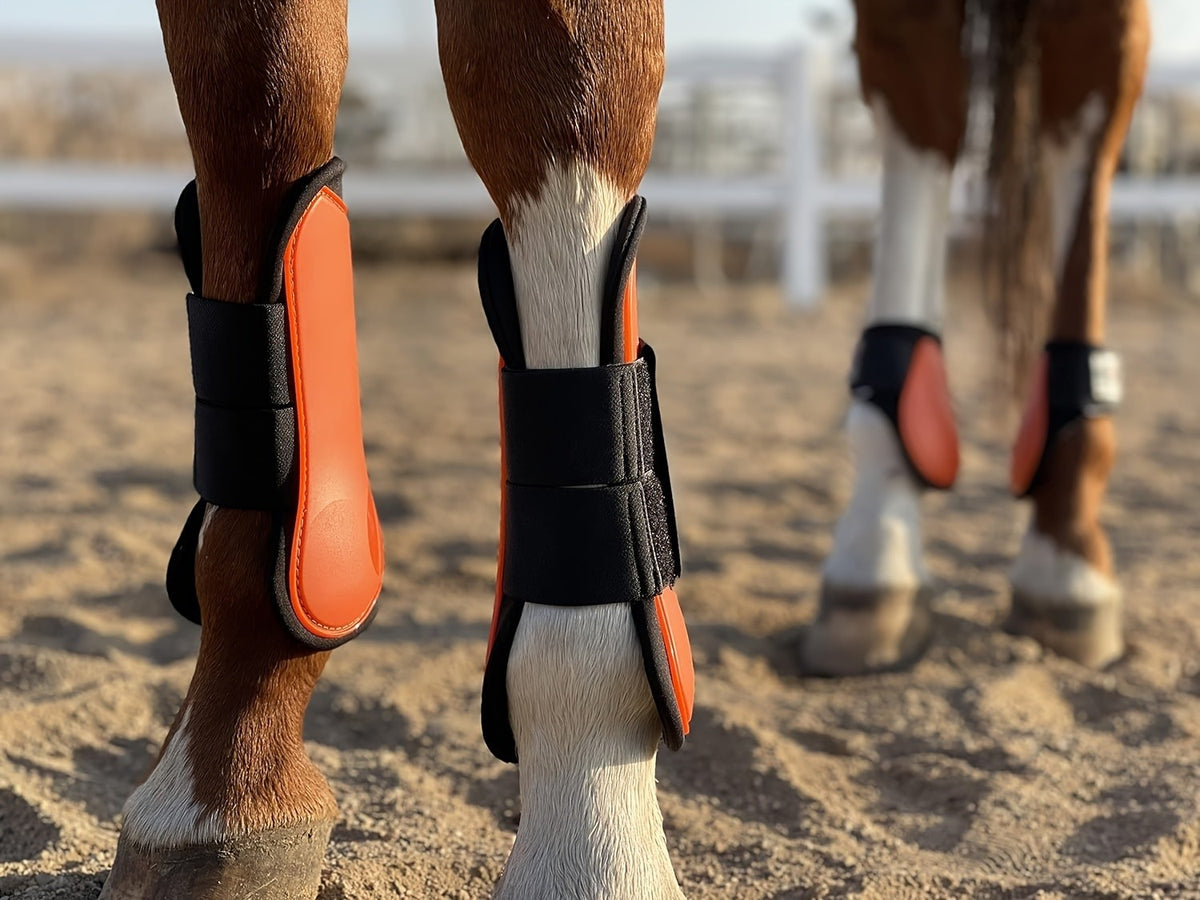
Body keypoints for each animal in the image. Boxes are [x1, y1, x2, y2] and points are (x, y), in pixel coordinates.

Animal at [97, 0, 1149, 897]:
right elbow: (252, 99)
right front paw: (220, 787)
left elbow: (550, 92)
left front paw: (592, 841)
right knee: (923, 86)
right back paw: (878, 554)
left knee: (1088, 96)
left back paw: (1062, 546)